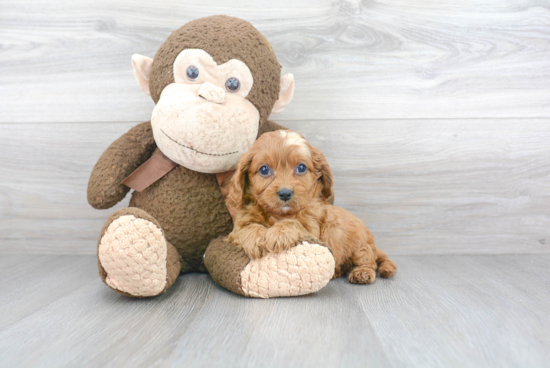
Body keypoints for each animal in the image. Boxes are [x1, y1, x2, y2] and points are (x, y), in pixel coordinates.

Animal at [226, 130, 398, 284]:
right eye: (264, 169)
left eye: (301, 168)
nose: (285, 193)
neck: (279, 215)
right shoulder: (237, 228)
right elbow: (248, 227)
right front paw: (257, 239)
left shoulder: (311, 228)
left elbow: (294, 223)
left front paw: (279, 234)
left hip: (359, 244)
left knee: (369, 260)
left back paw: (362, 273)